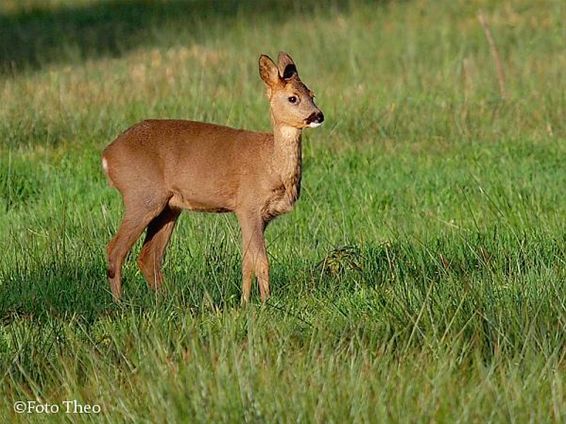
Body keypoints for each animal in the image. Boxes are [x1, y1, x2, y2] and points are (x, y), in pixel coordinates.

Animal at [102, 51, 324, 304]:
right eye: (293, 98)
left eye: (312, 94)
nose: (318, 115)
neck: (272, 163)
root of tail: (107, 155)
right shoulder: (247, 206)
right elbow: (261, 261)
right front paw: (264, 302)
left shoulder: (261, 215)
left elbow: (247, 262)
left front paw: (245, 302)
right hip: (141, 195)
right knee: (115, 250)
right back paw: (120, 303)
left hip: (169, 207)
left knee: (149, 256)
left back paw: (170, 301)